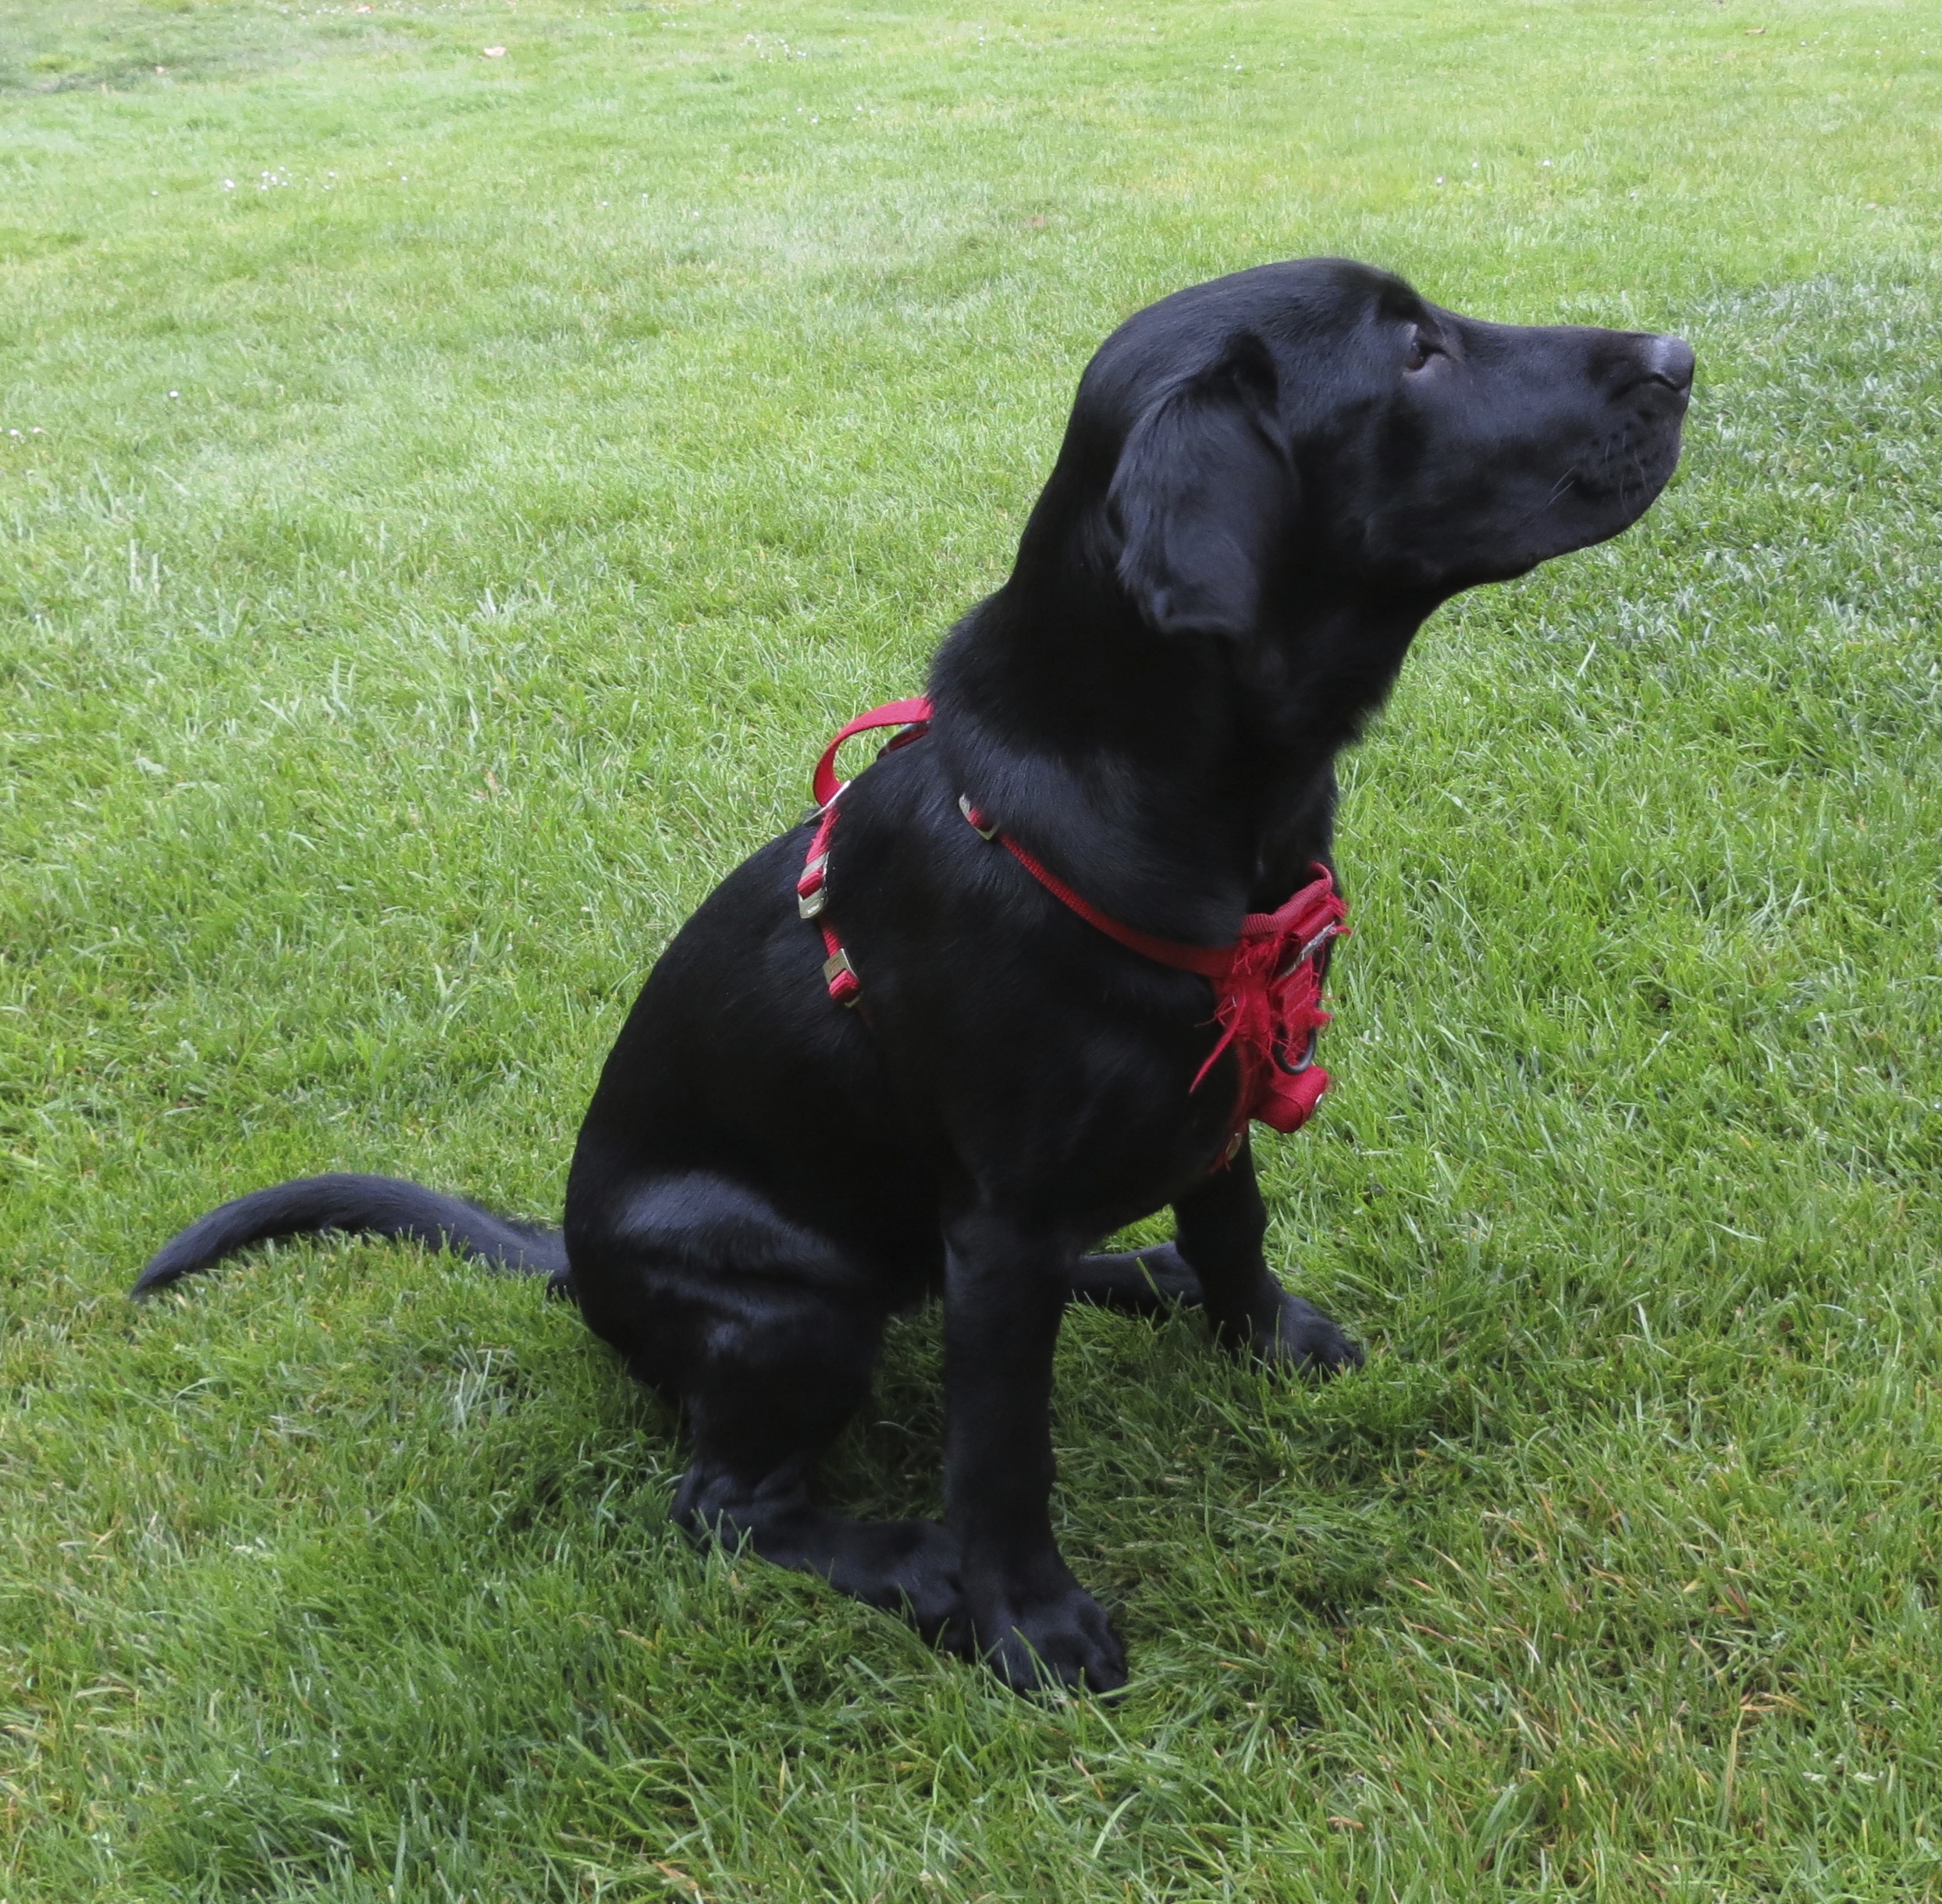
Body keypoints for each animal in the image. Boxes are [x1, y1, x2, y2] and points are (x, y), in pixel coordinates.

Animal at [137, 256, 1693, 1694]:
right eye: (1416, 353)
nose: (1679, 354)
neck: (1179, 803)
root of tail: (574, 1265)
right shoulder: (1001, 1223)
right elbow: (999, 1446)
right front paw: (1028, 1619)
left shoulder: (1215, 1098)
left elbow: (1233, 1231)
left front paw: (1259, 1335)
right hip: (791, 1311)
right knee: (725, 1503)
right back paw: (915, 1563)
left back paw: (1132, 1276)